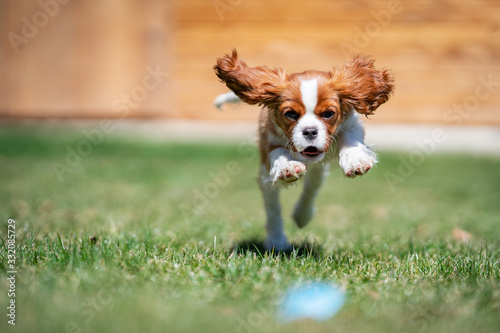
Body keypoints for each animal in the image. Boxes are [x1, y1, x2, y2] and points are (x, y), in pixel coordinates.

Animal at [213, 50, 392, 250]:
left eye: (328, 114)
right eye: (291, 114)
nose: (310, 131)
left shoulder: (352, 124)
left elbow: (349, 137)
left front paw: (355, 161)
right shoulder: (268, 143)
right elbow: (278, 153)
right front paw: (287, 167)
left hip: (318, 172)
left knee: (310, 189)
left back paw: (302, 216)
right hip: (266, 181)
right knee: (273, 208)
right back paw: (277, 240)